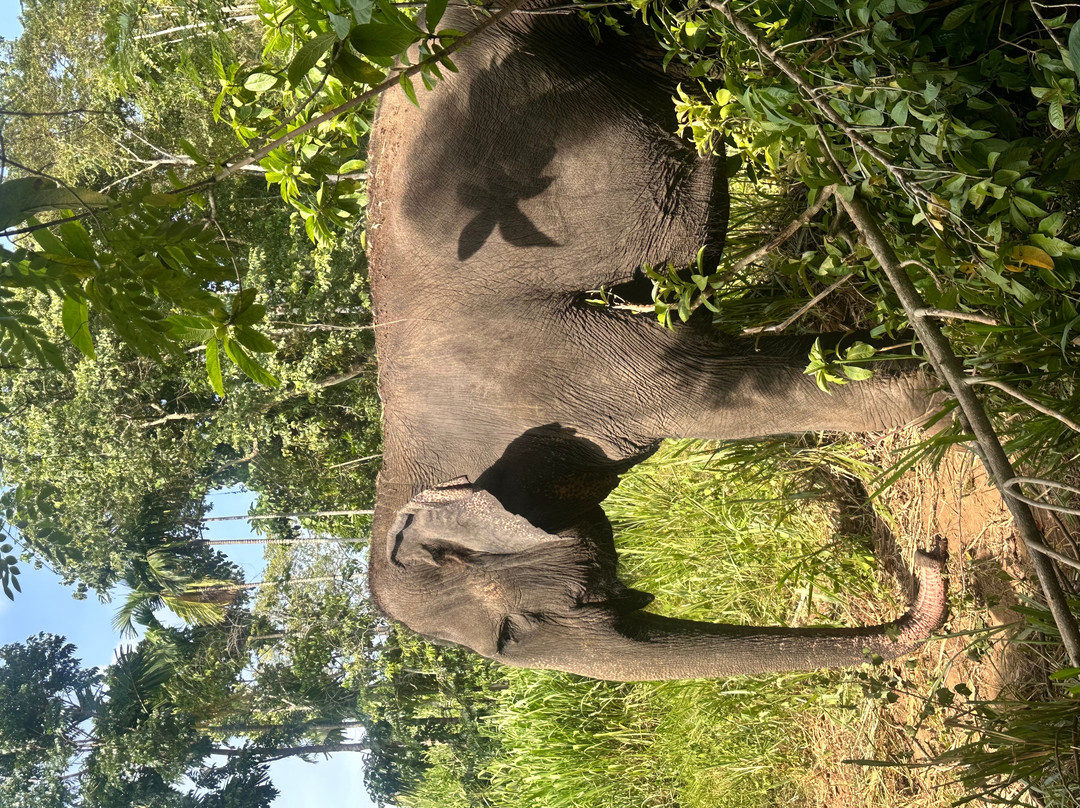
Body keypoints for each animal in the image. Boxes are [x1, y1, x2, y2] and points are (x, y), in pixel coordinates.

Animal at [363, 1, 947, 681]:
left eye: (511, 632)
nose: (930, 555)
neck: (403, 468)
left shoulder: (562, 366)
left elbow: (714, 392)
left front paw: (950, 400)